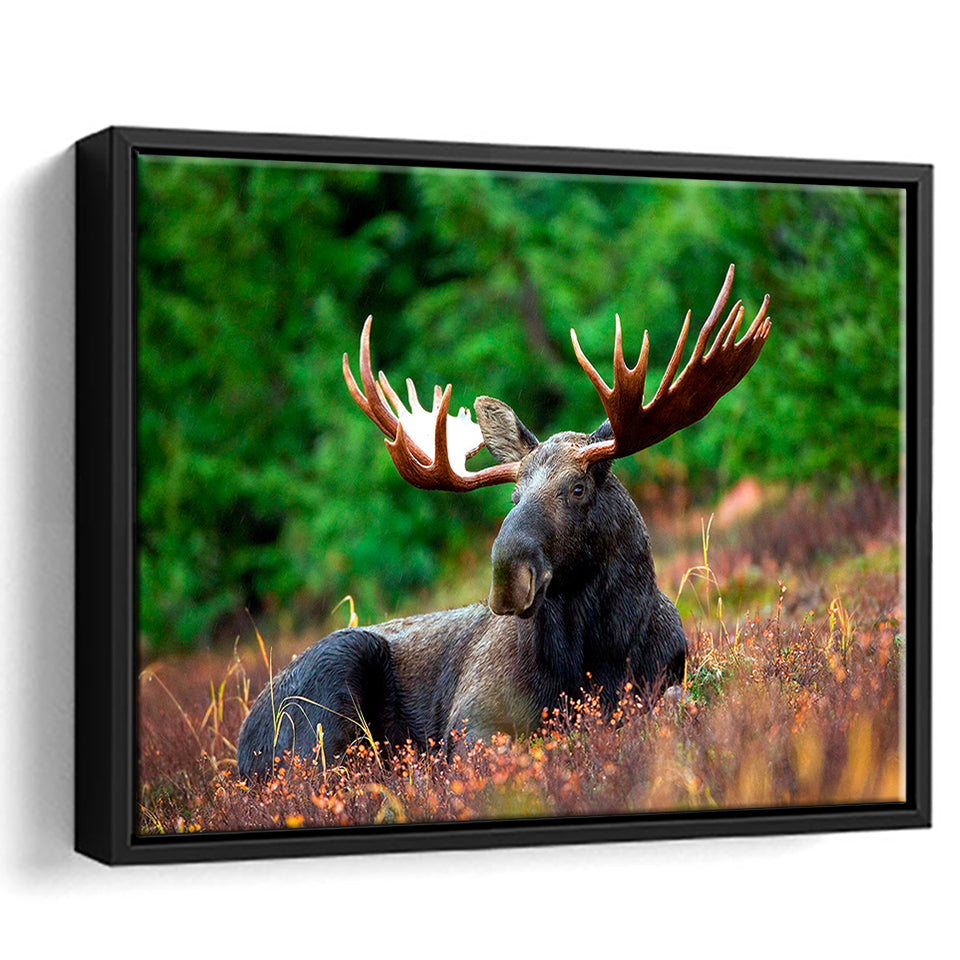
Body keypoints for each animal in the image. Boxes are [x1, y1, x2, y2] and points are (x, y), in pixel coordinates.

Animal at [236, 265, 771, 779]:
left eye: (578, 488)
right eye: (513, 495)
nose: (508, 577)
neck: (596, 654)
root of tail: (243, 746)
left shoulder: (665, 677)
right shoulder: (472, 718)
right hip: (331, 687)